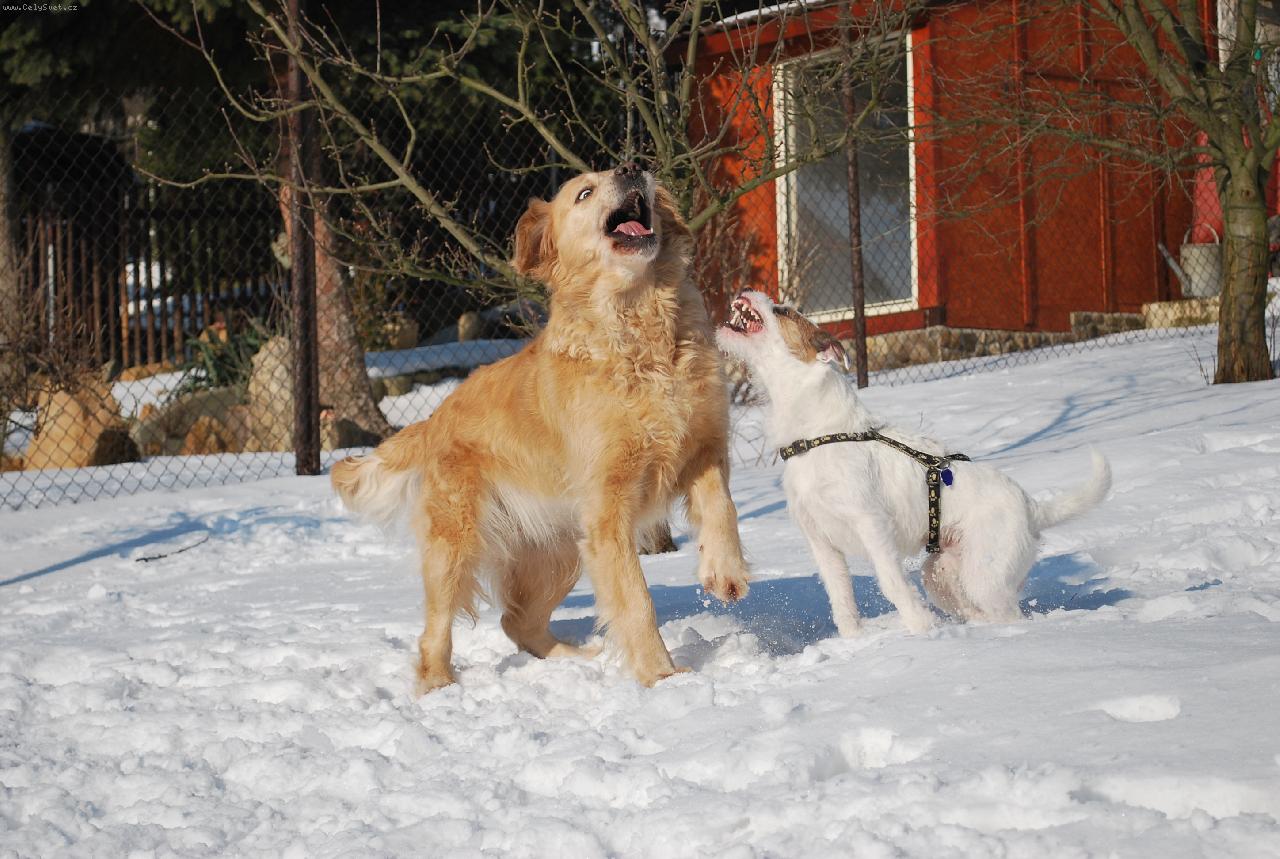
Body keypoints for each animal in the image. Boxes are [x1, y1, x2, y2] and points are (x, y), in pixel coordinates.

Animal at [332, 163, 750, 692]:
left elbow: (722, 508)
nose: (631, 168)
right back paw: (440, 686)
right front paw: (663, 676)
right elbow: (637, 602)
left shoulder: (704, 446)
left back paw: (574, 658)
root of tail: (434, 418)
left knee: (517, 621)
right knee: (436, 633)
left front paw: (725, 571)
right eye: (584, 193)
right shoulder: (608, 509)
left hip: (559, 551)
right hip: (457, 547)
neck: (638, 325)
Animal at [716, 291, 1110, 635]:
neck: (817, 435)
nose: (746, 288)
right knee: (973, 610)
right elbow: (841, 600)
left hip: (984, 576)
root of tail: (1032, 507)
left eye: (782, 309)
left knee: (1007, 613)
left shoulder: (872, 527)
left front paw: (922, 630)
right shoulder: (821, 542)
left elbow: (892, 584)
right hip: (941, 575)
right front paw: (854, 641)